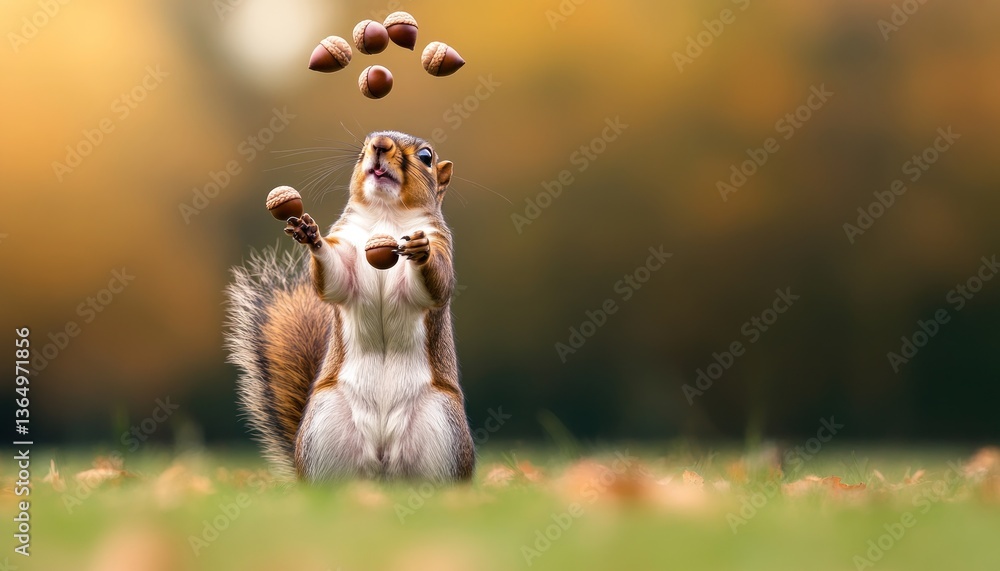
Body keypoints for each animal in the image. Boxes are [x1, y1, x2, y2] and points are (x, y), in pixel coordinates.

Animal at [225, 131, 475, 482]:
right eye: (367, 141)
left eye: (426, 156)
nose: (380, 144)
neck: (386, 214)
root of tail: (382, 469)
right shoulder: (345, 248)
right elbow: (335, 278)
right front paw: (309, 233)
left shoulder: (442, 246)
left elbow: (435, 284)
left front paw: (420, 250)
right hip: (323, 425)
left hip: (443, 429)